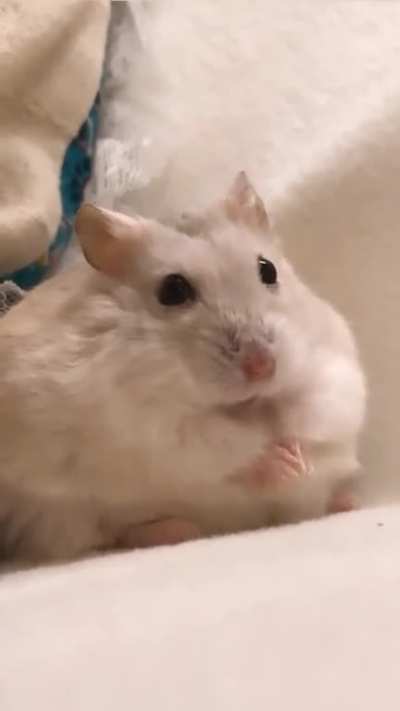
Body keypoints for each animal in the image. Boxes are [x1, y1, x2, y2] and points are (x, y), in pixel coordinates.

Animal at [0, 172, 366, 562]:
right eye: (173, 290)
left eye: (268, 270)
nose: (262, 367)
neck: (247, 407)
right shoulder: (152, 427)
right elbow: (222, 446)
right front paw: (281, 464)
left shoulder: (334, 377)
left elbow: (310, 417)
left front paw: (298, 460)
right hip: (57, 515)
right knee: (114, 534)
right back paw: (176, 530)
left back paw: (346, 501)